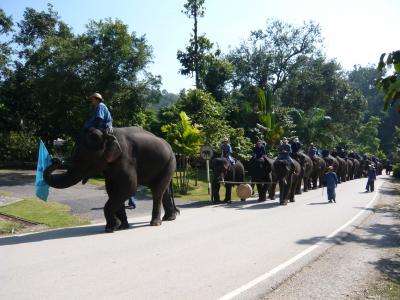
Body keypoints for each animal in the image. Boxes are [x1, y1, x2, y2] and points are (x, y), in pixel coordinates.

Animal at [44, 126, 180, 232]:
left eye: (79, 157)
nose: (56, 159)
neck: (106, 133)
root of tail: (171, 147)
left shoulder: (125, 159)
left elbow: (129, 188)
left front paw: (111, 228)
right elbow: (112, 190)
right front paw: (121, 226)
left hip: (170, 163)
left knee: (157, 191)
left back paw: (155, 223)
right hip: (167, 164)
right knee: (164, 191)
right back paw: (169, 218)